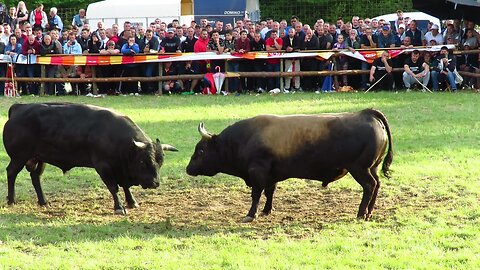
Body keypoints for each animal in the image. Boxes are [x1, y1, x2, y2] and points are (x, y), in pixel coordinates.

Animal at [2, 102, 178, 214]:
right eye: (142, 162)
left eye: (160, 162)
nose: (155, 183)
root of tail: (20, 107)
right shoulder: (103, 167)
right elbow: (114, 187)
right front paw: (119, 207)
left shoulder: (121, 170)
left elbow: (125, 187)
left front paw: (132, 201)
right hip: (19, 158)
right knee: (11, 173)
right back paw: (11, 200)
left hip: (39, 159)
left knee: (35, 177)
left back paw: (43, 201)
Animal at [186, 108, 392, 220]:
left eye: (201, 150)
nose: (188, 169)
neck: (245, 138)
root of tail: (366, 113)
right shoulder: (272, 174)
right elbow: (269, 193)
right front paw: (267, 211)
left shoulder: (257, 172)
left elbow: (256, 194)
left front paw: (251, 214)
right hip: (371, 168)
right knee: (377, 184)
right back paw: (369, 212)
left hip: (359, 169)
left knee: (369, 186)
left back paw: (361, 213)